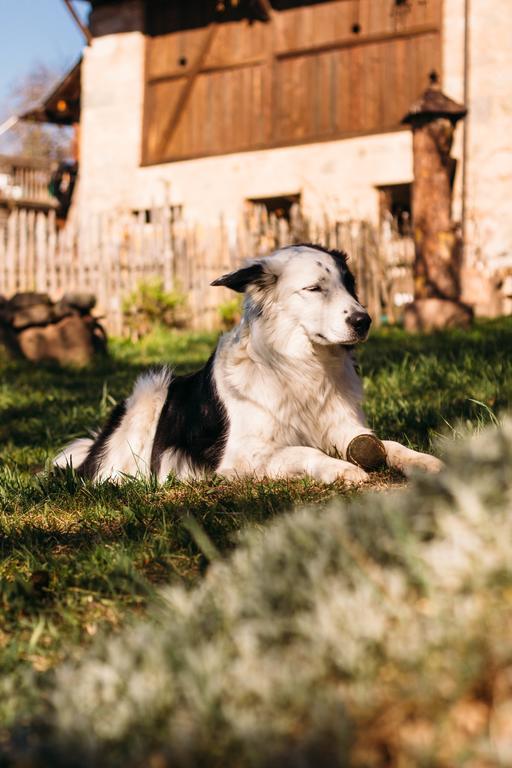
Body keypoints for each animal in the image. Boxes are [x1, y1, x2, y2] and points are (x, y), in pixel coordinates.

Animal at [55, 243, 440, 484]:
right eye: (314, 288)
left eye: (350, 285)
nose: (364, 321)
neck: (299, 366)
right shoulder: (244, 454)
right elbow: (303, 450)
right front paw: (340, 469)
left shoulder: (346, 429)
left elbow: (390, 445)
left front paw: (424, 460)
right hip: (150, 392)